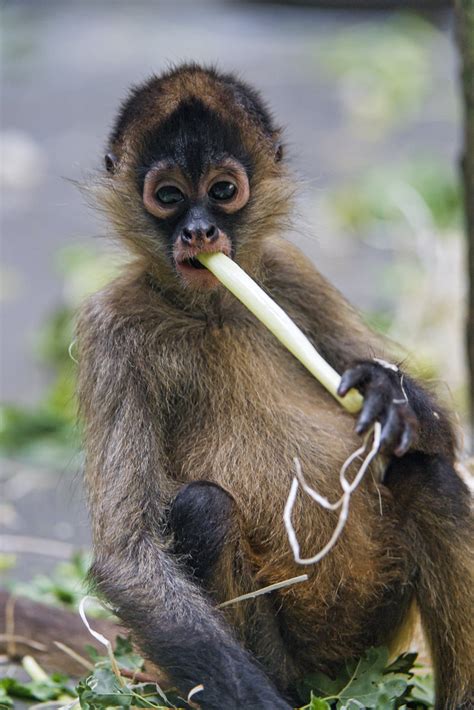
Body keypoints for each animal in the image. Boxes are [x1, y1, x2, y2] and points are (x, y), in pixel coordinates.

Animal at [76, 64, 472, 708]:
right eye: (169, 197)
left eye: (222, 190)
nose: (199, 230)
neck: (210, 309)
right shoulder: (108, 327)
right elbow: (127, 557)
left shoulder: (289, 270)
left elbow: (444, 433)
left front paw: (390, 392)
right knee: (203, 509)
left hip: (377, 629)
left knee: (427, 470)